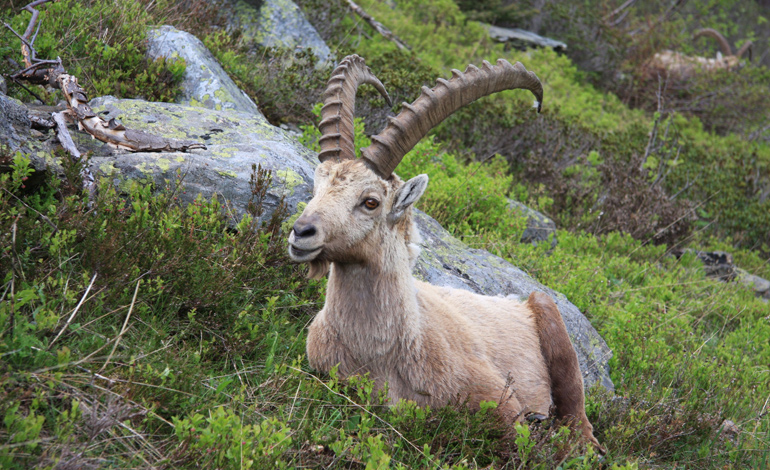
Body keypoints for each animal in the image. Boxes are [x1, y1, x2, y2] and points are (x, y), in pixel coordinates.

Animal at [287, 55, 603, 450]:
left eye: (370, 201)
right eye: (317, 187)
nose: (301, 232)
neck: (381, 353)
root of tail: (519, 301)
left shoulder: (500, 399)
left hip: (550, 319)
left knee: (579, 420)